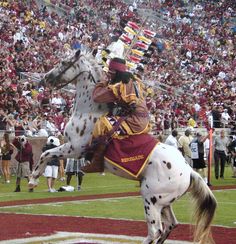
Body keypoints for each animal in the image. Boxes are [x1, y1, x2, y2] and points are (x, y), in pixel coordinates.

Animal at [28, 50, 217, 244]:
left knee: (155, 230)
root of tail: (188, 171)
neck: (89, 111)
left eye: (64, 62)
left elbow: (46, 154)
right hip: (164, 203)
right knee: (171, 225)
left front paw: (33, 179)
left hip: (151, 199)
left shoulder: (75, 148)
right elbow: (47, 154)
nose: (45, 78)